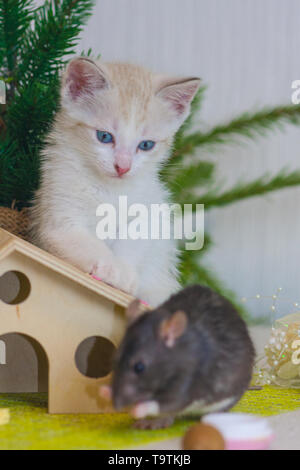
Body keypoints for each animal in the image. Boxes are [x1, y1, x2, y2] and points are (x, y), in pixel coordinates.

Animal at [29, 57, 199, 308]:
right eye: (104, 136)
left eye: (146, 145)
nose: (123, 167)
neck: (110, 189)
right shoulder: (58, 213)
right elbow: (86, 243)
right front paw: (113, 270)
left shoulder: (151, 209)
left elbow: (135, 237)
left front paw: (126, 272)